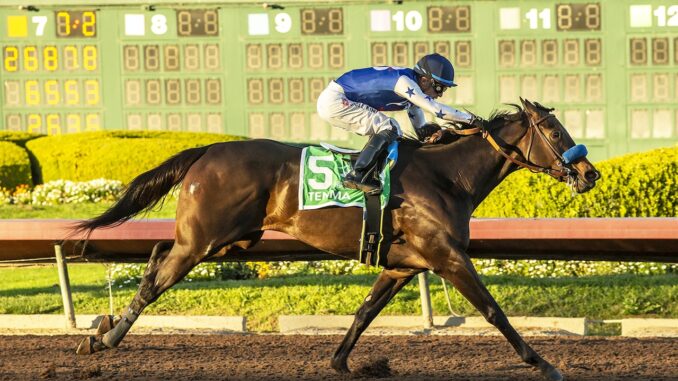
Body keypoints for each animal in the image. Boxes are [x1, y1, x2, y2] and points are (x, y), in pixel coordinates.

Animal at [74, 98, 600, 380]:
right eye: (555, 130)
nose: (590, 173)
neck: (446, 176)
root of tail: (208, 150)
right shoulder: (447, 256)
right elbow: (493, 311)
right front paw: (543, 363)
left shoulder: (404, 264)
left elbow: (365, 312)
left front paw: (340, 360)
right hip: (204, 241)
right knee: (157, 279)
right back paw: (104, 339)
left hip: (229, 241)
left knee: (156, 258)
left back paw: (103, 330)